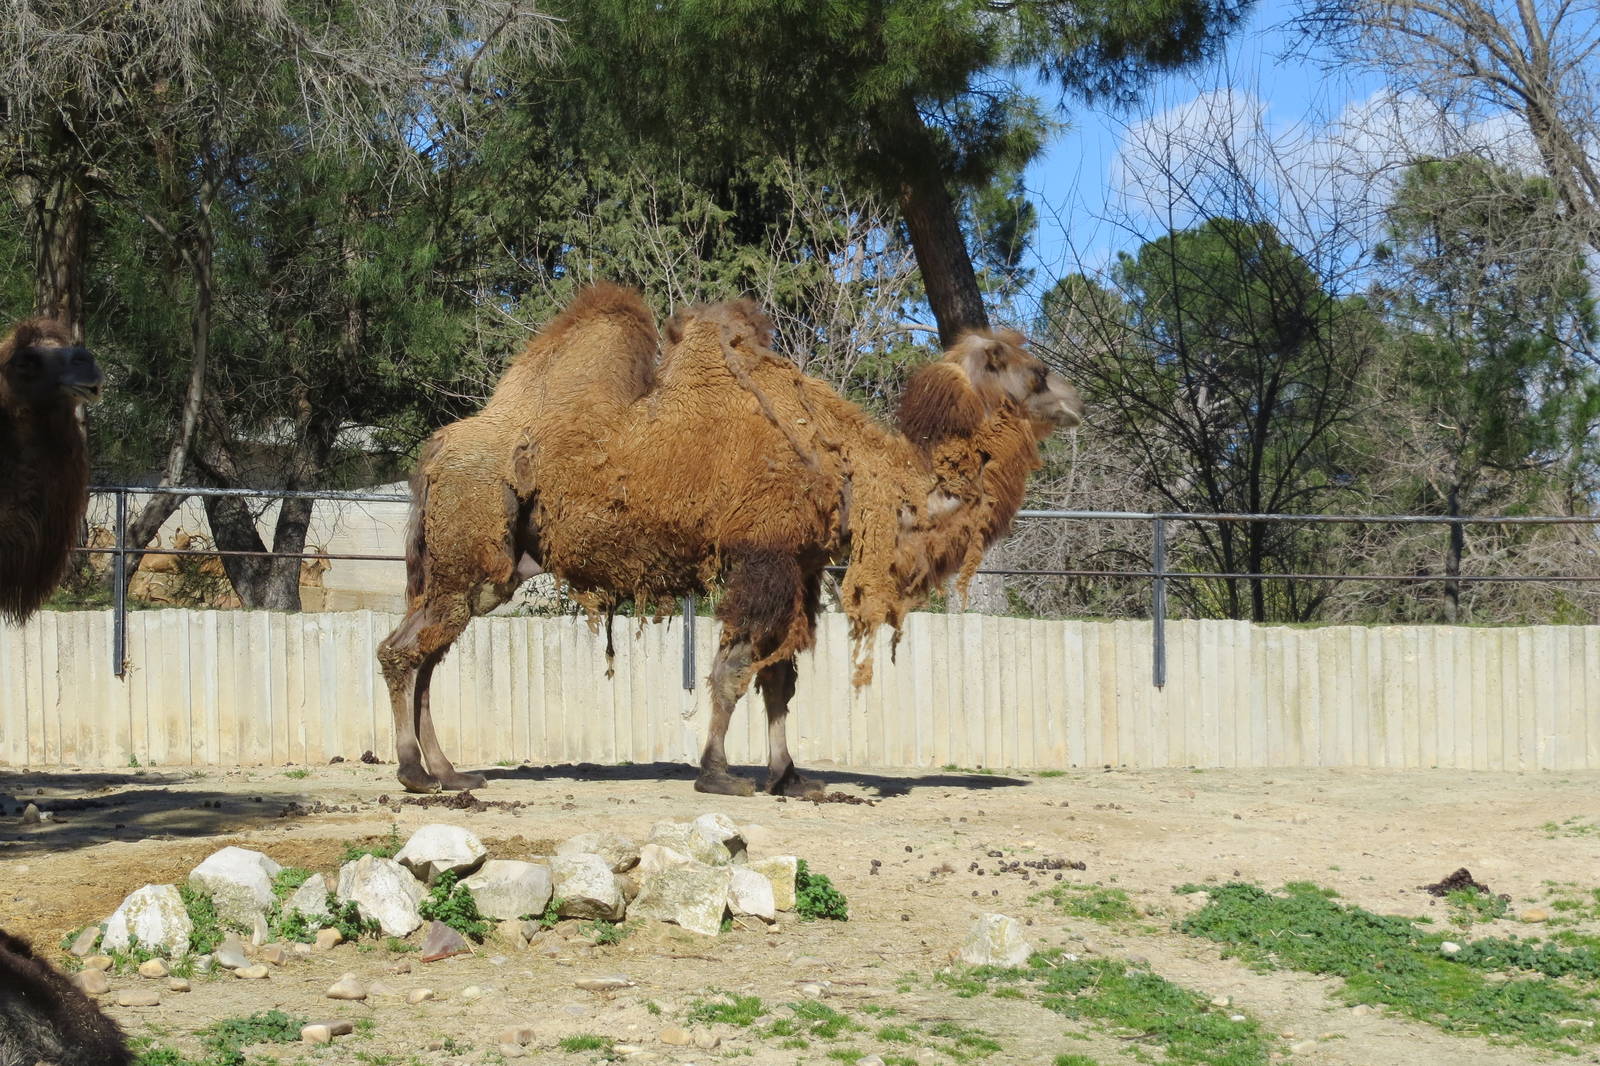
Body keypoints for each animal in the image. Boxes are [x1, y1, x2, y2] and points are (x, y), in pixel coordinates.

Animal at [379, 284, 1081, 796]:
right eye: (1038, 371)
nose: (1076, 401)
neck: (854, 476)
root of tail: (434, 455)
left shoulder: (799, 568)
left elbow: (781, 679)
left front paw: (791, 778)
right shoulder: (763, 557)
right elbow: (735, 669)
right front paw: (718, 774)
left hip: (485, 568)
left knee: (428, 653)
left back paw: (450, 772)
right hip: (471, 547)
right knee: (404, 651)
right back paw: (415, 774)